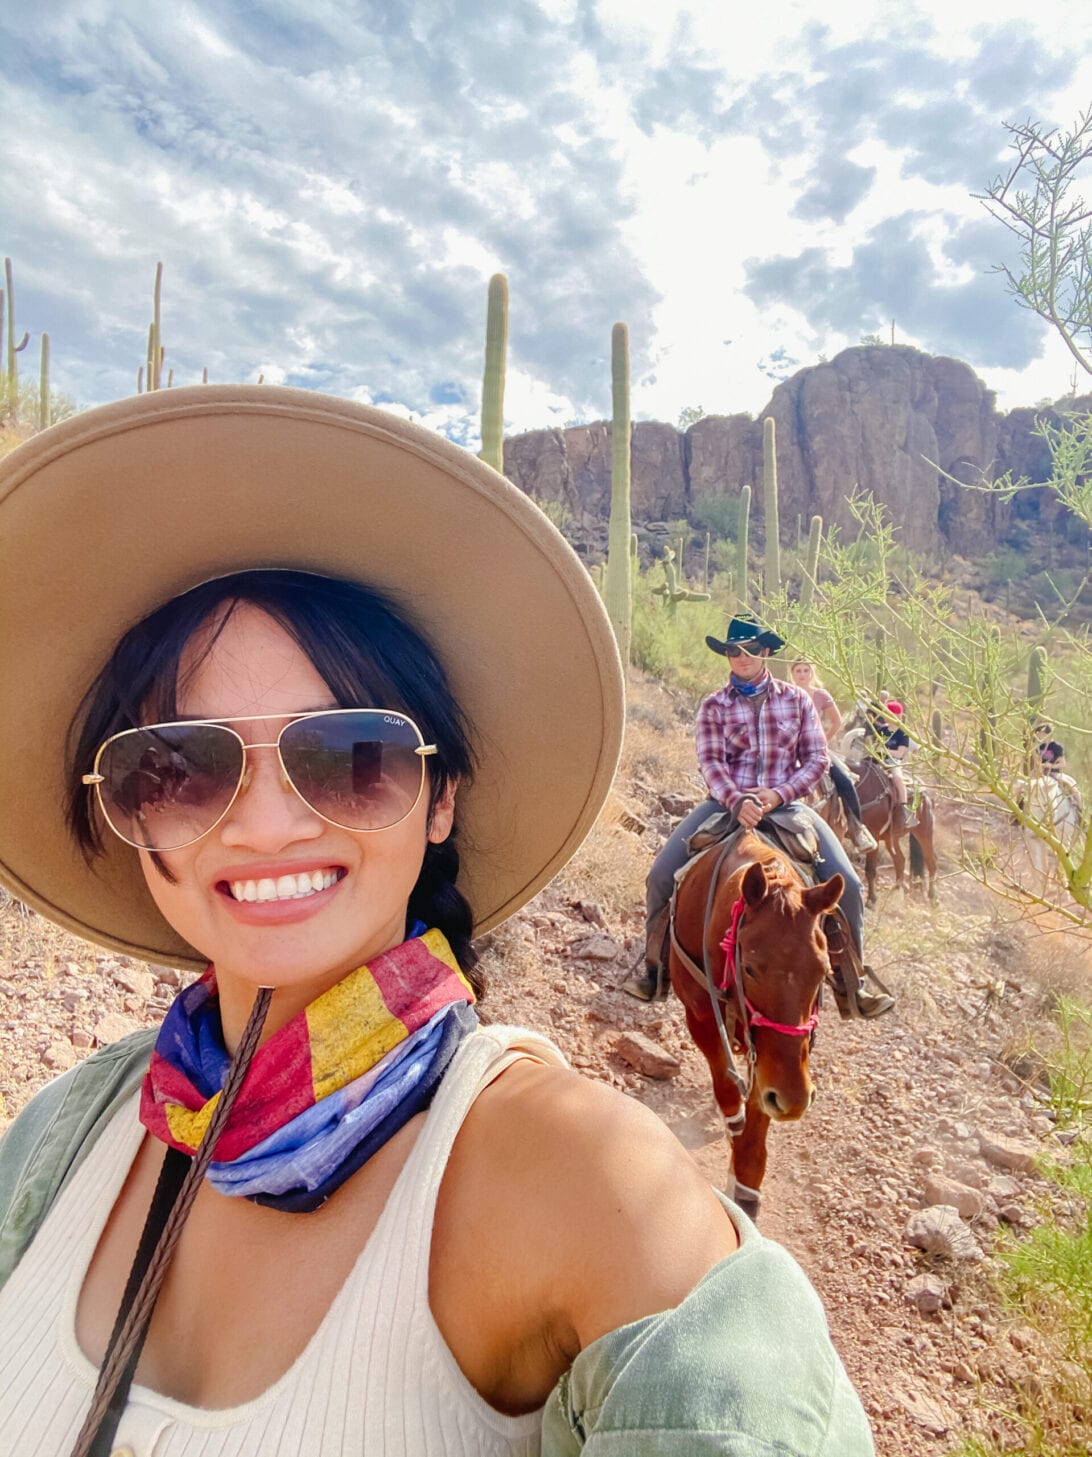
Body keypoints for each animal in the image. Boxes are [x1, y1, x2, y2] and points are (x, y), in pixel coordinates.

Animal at [667, 833, 839, 1218]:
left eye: (824, 972)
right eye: (749, 967)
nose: (795, 1100)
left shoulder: (774, 1059)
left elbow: (758, 1122)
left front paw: (745, 1187)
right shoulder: (700, 1018)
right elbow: (728, 1090)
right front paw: (734, 1123)